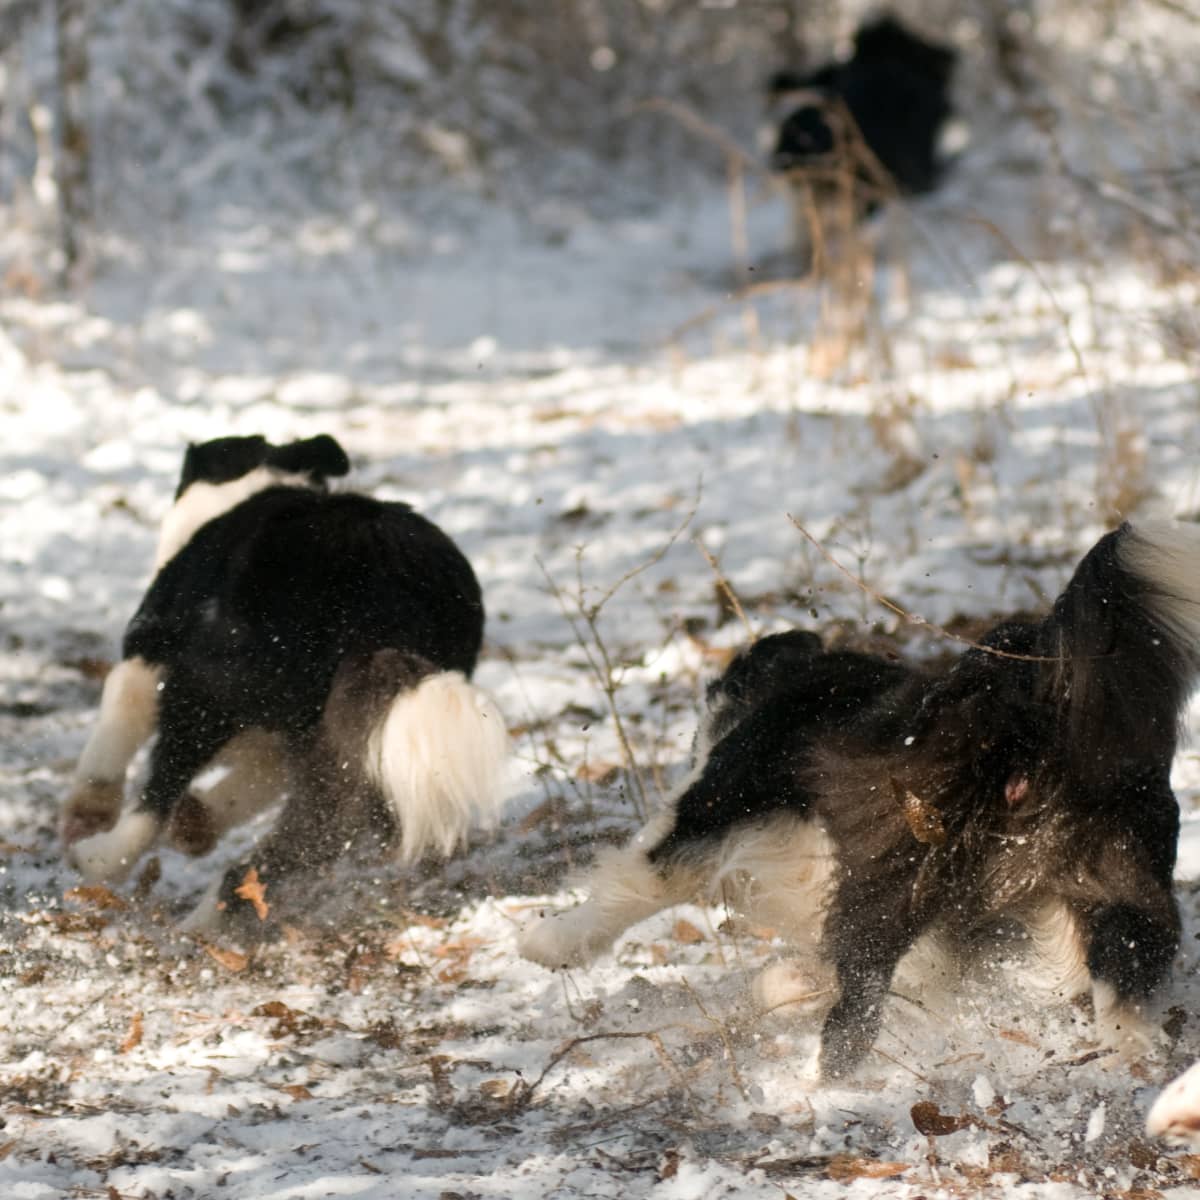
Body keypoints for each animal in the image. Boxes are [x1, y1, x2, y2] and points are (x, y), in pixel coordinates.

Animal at [62, 436, 506, 931]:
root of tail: (384, 604)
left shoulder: (148, 651)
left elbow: (117, 721)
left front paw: (91, 809)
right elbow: (257, 780)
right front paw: (199, 823)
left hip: (209, 686)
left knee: (158, 793)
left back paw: (101, 858)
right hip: (351, 752)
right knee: (305, 838)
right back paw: (205, 921)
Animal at [520, 523, 1195, 1080]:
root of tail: (1025, 715)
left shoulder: (713, 804)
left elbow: (634, 881)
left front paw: (547, 943)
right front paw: (786, 982)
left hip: (897, 871)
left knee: (858, 1009)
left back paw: (810, 1086)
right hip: (1114, 886)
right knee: (1125, 991)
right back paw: (1132, 1067)